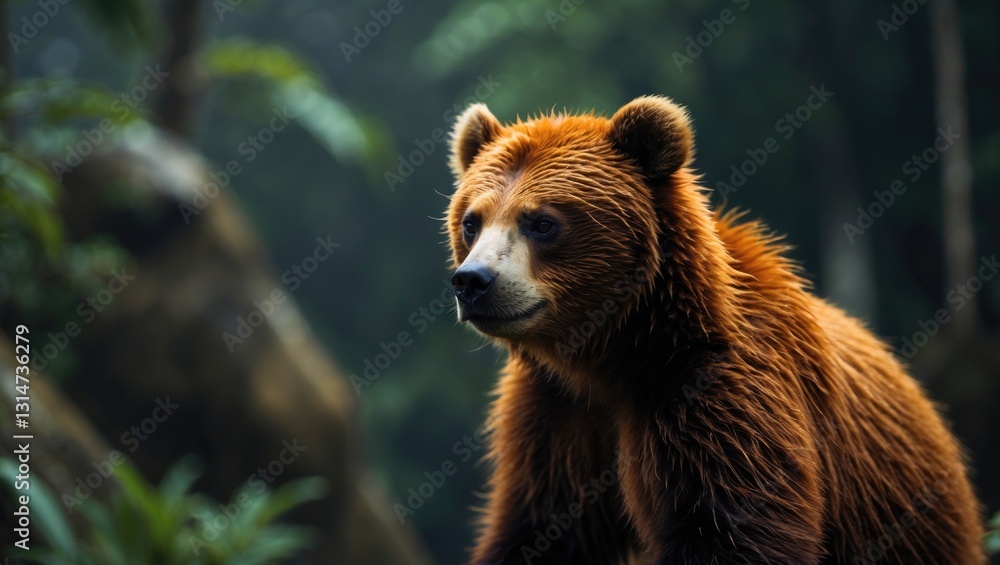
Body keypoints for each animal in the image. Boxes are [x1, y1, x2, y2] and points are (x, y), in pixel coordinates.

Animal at [444, 96, 985, 564]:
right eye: (472, 221)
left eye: (541, 222)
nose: (473, 281)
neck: (614, 355)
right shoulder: (557, 415)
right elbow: (538, 529)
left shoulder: (717, 389)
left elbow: (729, 527)